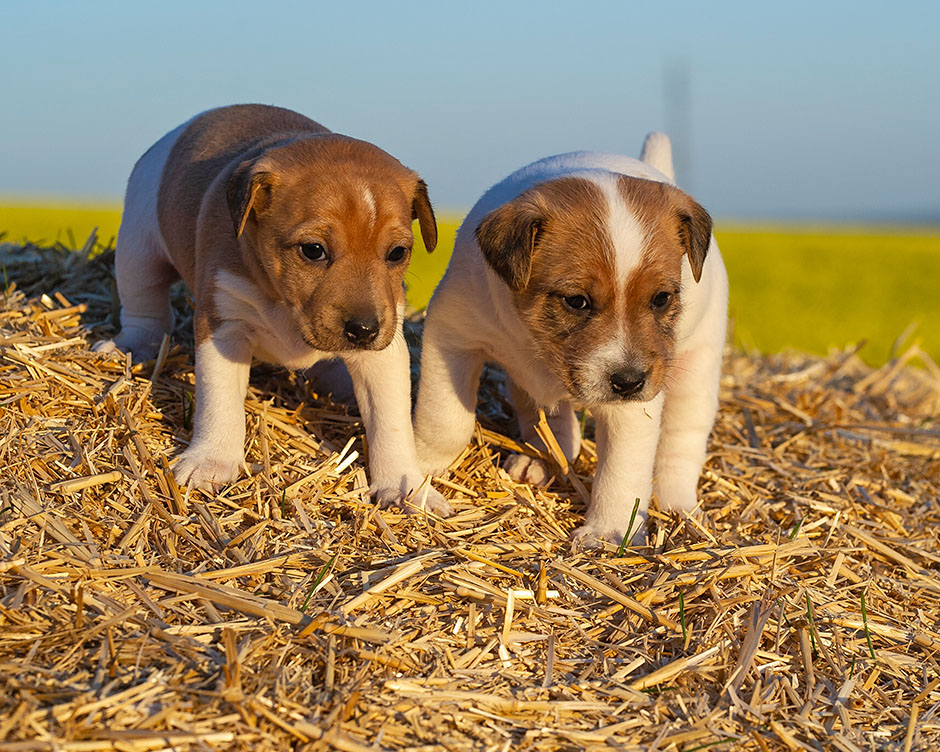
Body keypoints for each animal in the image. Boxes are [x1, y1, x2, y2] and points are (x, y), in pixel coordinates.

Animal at [97, 103, 450, 516]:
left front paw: (406, 486)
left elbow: (391, 422)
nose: (363, 330)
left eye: (397, 253)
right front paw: (211, 461)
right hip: (137, 246)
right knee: (145, 307)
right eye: (312, 250)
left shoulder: (384, 349)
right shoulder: (224, 328)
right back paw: (132, 345)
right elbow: (220, 403)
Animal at [414, 135, 732, 548]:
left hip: (697, 370)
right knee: (554, 422)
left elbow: (623, 469)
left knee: (681, 442)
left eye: (661, 298)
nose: (630, 382)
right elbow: (444, 419)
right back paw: (539, 462)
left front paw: (608, 531)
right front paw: (418, 471)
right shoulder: (452, 336)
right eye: (577, 301)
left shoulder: (633, 405)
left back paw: (682, 506)